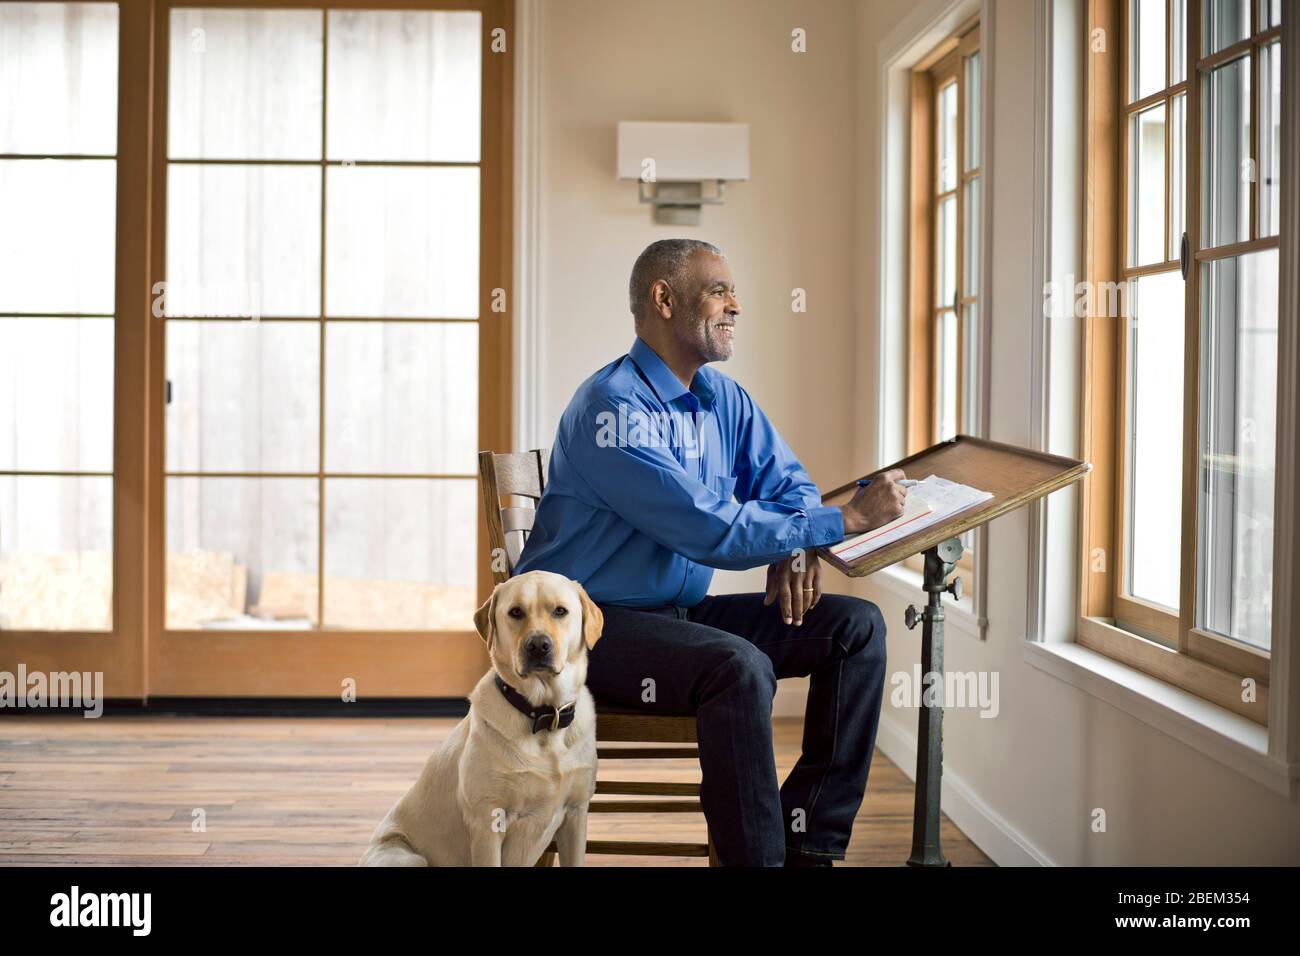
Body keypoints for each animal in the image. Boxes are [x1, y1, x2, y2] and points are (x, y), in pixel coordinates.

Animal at [356, 572, 598, 868]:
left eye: (560, 611)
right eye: (515, 612)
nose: (538, 645)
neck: (542, 717)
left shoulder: (576, 814)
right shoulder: (487, 820)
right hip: (408, 857)